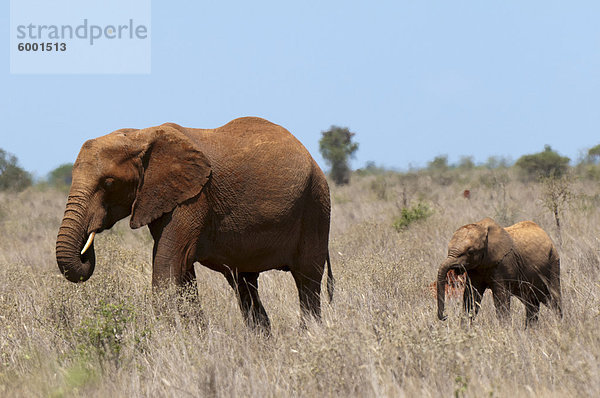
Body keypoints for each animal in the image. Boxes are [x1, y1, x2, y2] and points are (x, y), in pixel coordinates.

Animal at [55, 116, 332, 332]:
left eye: (109, 183)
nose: (87, 245)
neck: (140, 135)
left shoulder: (194, 198)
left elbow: (168, 267)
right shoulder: (164, 197)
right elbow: (182, 273)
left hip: (316, 205)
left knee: (307, 281)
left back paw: (310, 335)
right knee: (245, 285)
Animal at [436, 218, 564, 326]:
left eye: (470, 252)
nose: (445, 316)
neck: (482, 227)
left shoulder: (503, 264)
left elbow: (501, 298)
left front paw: (504, 329)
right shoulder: (475, 269)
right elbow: (471, 297)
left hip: (553, 263)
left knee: (553, 299)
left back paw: (559, 325)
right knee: (532, 305)